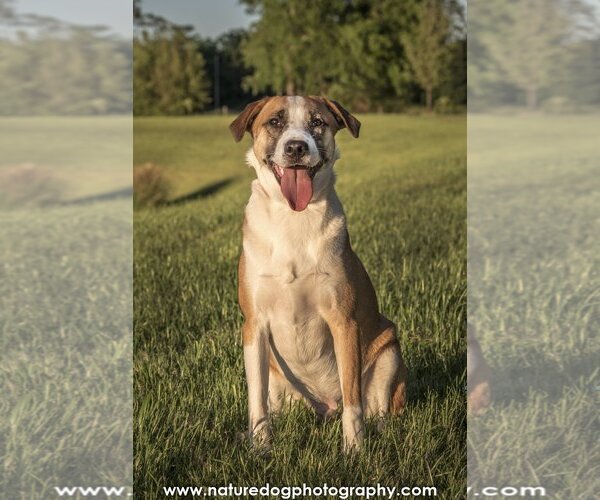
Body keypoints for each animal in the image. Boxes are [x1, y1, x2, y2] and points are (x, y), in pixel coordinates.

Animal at [230, 95, 408, 452]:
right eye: (275, 122)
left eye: (317, 122)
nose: (296, 147)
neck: (293, 218)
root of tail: (325, 406)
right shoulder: (254, 325)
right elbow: (256, 398)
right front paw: (260, 447)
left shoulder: (344, 321)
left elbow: (353, 401)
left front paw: (353, 450)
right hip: (278, 375)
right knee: (273, 402)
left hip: (388, 351)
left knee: (379, 409)